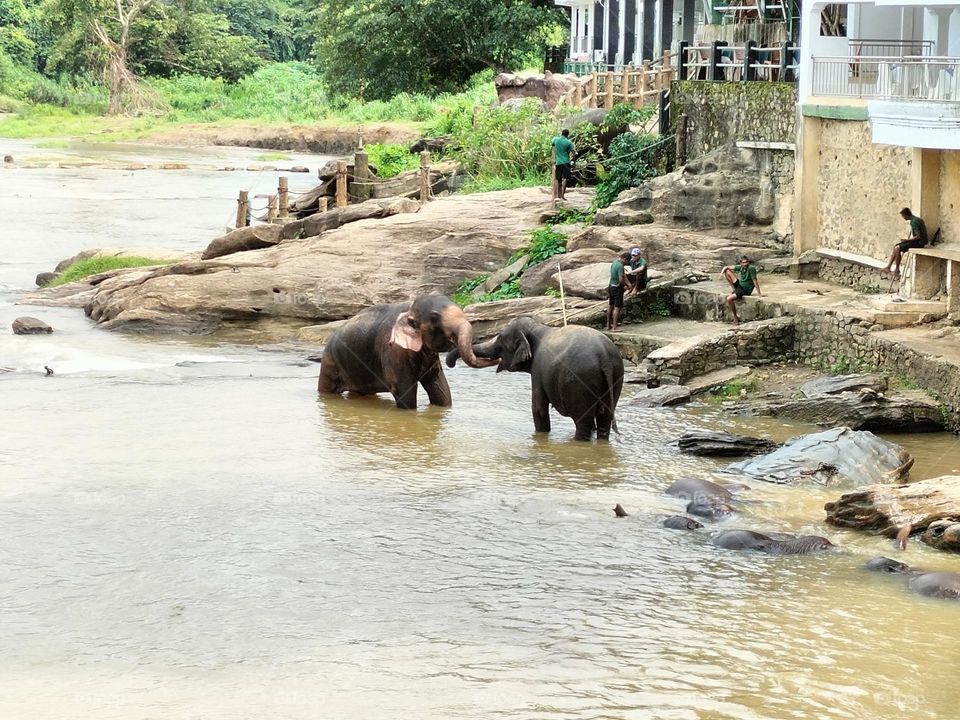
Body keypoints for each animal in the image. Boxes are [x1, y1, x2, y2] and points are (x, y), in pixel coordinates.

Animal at [318, 294, 492, 409]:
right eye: (434, 317)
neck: (409, 310)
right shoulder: (393, 351)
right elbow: (405, 393)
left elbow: (439, 387)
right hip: (329, 362)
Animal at [448, 317, 624, 441]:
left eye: (500, 340)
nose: (451, 363)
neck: (537, 327)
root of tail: (604, 357)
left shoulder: (538, 370)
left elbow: (538, 409)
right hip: (616, 378)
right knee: (605, 418)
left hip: (581, 382)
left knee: (583, 421)